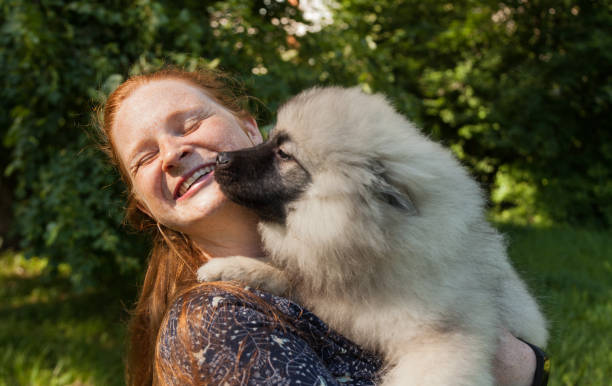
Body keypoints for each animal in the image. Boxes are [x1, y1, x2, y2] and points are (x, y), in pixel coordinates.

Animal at [198, 87, 548, 386]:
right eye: (270, 140)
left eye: (284, 154)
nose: (220, 159)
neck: (378, 241)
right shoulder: (328, 290)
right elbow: (283, 273)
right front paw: (226, 267)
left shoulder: (441, 341)